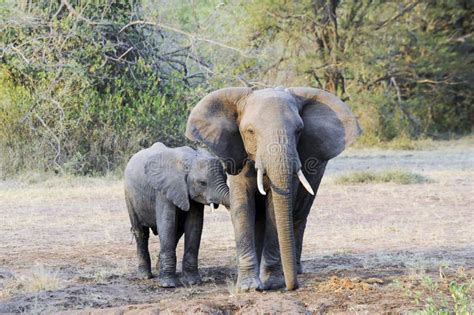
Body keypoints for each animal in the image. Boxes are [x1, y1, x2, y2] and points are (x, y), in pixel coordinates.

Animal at [124, 143, 230, 288]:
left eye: (226, 178)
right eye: (202, 183)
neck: (190, 160)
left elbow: (194, 225)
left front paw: (193, 282)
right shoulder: (164, 190)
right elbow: (167, 224)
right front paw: (168, 285)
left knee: (177, 232)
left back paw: (159, 269)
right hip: (129, 195)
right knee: (140, 232)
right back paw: (145, 276)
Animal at [184, 87, 360, 292]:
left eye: (299, 131)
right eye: (250, 131)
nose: (293, 286)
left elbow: (275, 210)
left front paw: (273, 283)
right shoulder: (238, 154)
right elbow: (243, 206)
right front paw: (249, 287)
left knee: (298, 216)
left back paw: (294, 269)